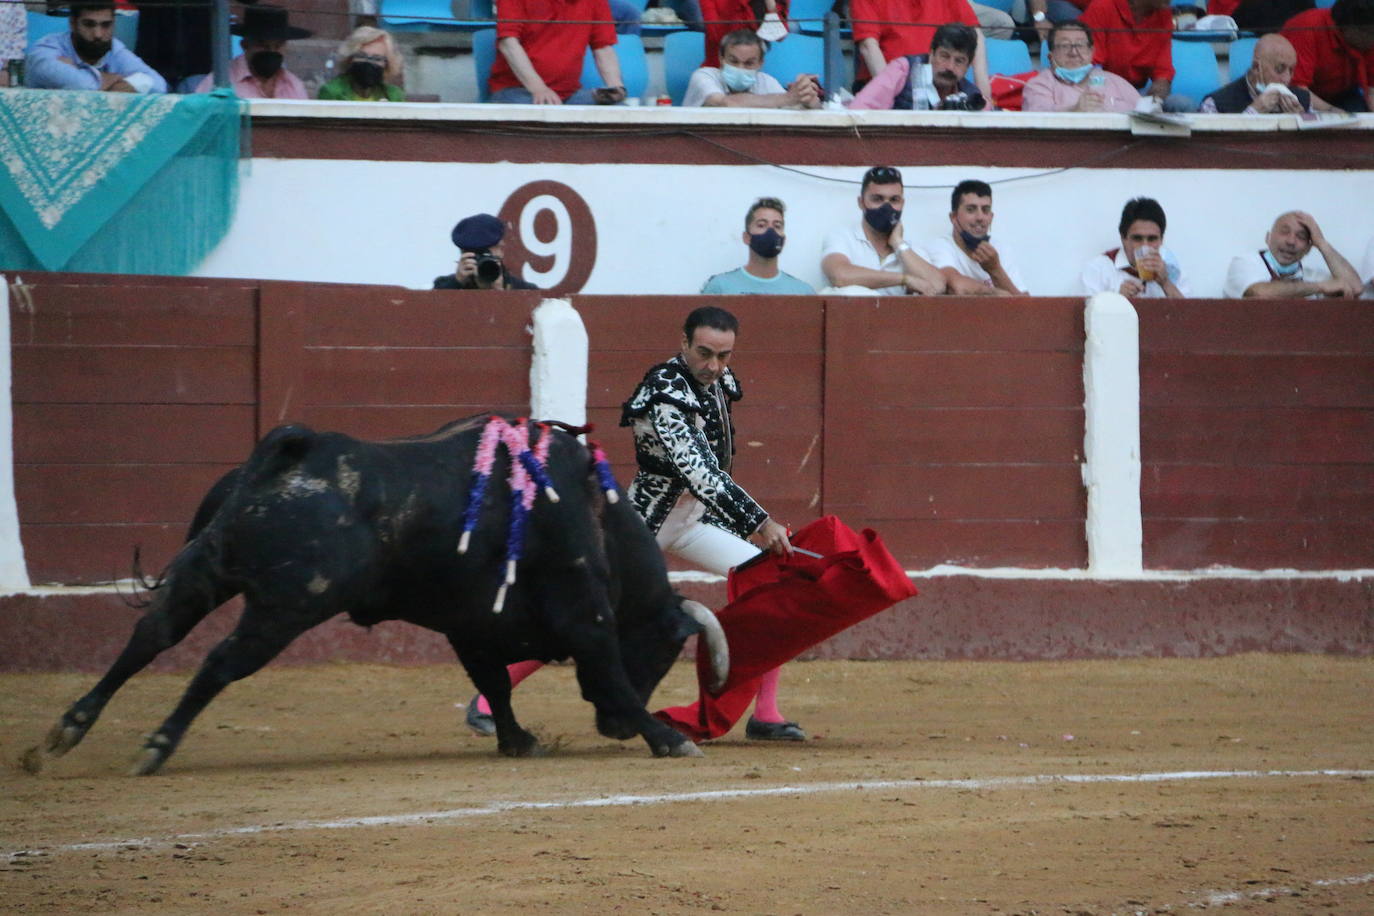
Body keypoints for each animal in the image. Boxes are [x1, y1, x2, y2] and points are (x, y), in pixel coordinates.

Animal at [34, 417, 730, 774]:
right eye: (664, 651)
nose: (614, 731)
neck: (595, 514)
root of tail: (296, 449)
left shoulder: (472, 627)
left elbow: (496, 684)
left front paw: (516, 739)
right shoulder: (585, 614)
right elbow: (606, 671)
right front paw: (666, 737)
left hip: (207, 569)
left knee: (151, 634)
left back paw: (64, 731)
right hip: (286, 606)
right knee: (219, 662)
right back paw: (156, 746)